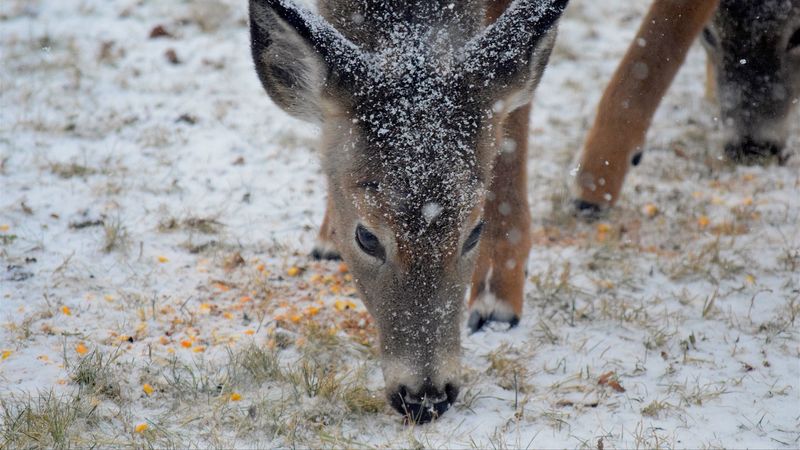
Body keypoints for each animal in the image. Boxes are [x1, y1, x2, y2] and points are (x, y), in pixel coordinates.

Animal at [249, 0, 568, 422]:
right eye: (366, 237)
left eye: (475, 231)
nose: (426, 397)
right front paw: (328, 234)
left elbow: (511, 123)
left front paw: (500, 294)